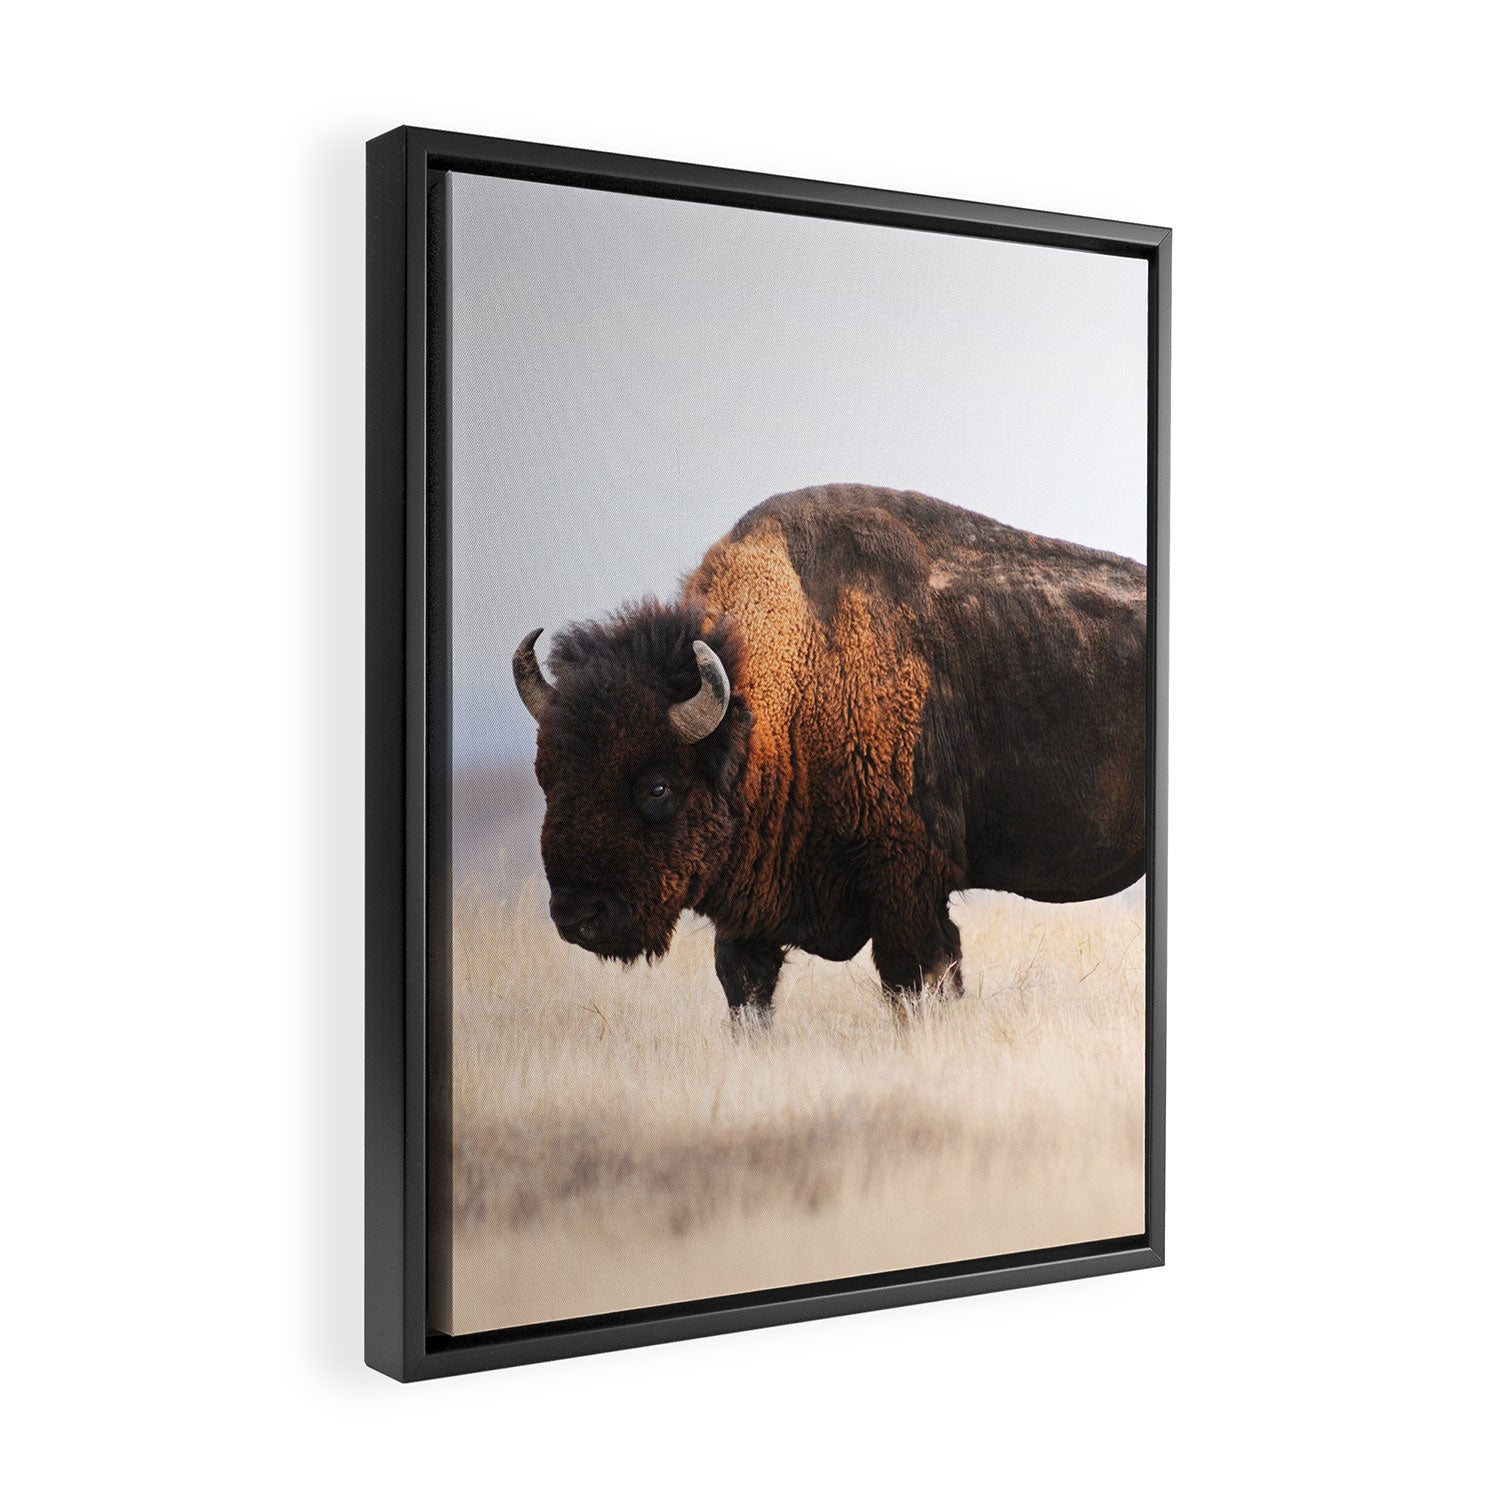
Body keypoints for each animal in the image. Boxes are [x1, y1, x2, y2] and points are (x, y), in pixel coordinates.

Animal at [513, 483, 1146, 1022]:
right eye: (547, 777)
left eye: (657, 786)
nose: (578, 915)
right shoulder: (750, 911)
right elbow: (745, 989)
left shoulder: (906, 884)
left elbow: (916, 979)